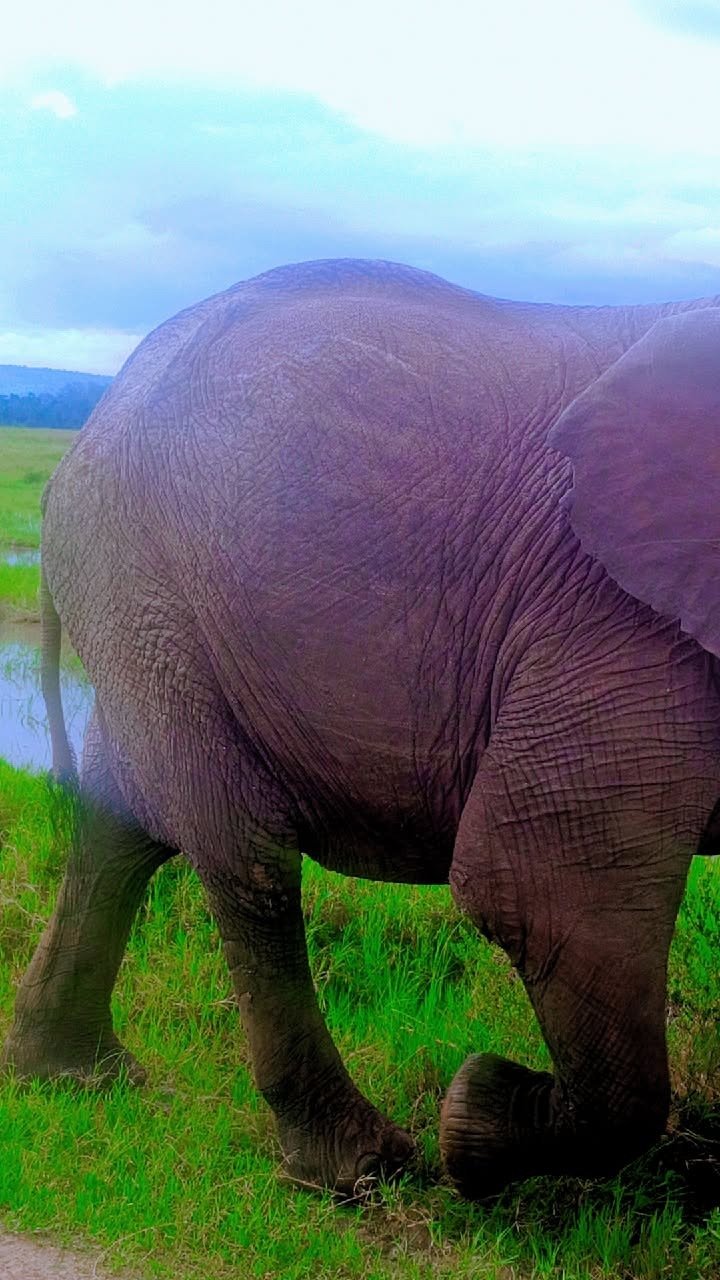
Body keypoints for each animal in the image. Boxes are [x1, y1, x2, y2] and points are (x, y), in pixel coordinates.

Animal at [3, 257, 720, 1200]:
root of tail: (84, 438)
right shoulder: (621, 621)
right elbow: (542, 892)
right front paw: (475, 1112)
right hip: (145, 589)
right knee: (246, 858)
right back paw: (360, 1166)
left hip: (138, 608)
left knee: (119, 827)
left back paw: (76, 1075)